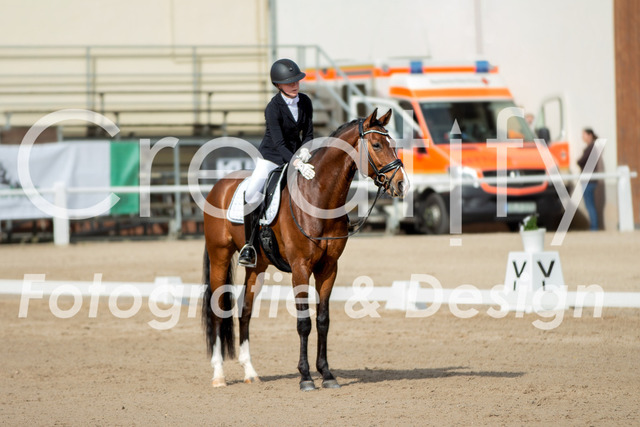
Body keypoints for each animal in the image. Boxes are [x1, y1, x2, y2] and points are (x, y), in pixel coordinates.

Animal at [201, 108, 408, 391]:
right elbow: (304, 323)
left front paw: (327, 374)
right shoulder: (301, 267)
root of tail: (218, 186)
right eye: (376, 144)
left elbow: (322, 321)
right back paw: (219, 375)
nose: (401, 185)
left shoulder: (328, 268)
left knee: (245, 311)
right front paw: (306, 377)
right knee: (216, 311)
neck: (318, 197)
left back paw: (250, 372)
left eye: (393, 144)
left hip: (257, 266)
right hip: (219, 256)